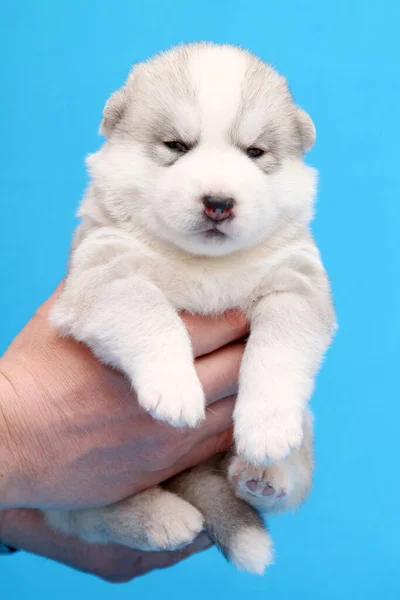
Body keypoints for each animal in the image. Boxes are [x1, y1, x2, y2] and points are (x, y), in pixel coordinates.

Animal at [44, 41, 334, 572]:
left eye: (254, 152)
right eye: (176, 146)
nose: (219, 202)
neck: (205, 265)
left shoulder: (296, 285)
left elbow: (278, 352)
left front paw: (265, 428)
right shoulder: (105, 271)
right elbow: (148, 313)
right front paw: (175, 388)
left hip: (302, 434)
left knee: (286, 482)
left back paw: (264, 475)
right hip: (77, 484)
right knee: (97, 514)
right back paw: (164, 518)